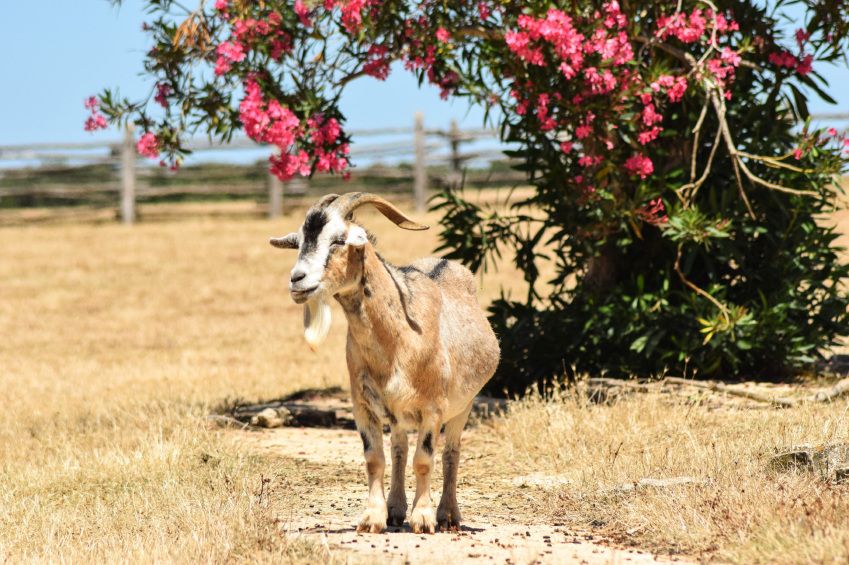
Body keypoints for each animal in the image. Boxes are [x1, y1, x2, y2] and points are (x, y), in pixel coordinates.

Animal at [270, 194, 496, 532]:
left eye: (339, 240)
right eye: (299, 242)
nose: (297, 280)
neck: (400, 338)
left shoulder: (433, 408)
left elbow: (425, 460)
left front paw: (423, 518)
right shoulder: (363, 406)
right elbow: (375, 458)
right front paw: (372, 518)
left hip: (463, 405)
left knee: (451, 453)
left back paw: (447, 515)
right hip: (399, 414)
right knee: (399, 449)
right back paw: (395, 509)